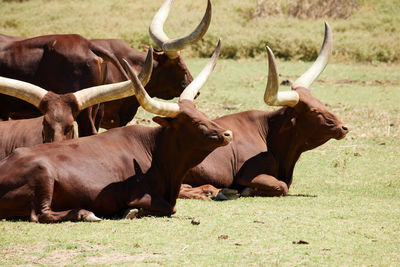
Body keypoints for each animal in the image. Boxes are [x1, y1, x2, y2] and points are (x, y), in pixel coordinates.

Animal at [0, 40, 234, 224]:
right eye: (194, 122)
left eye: (203, 114)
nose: (228, 134)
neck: (155, 153)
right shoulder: (138, 194)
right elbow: (168, 207)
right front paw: (131, 211)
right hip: (44, 176)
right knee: (41, 214)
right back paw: (85, 213)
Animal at [179, 23, 350, 201]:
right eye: (314, 111)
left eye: (321, 103)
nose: (344, 127)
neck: (269, 135)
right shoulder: (248, 175)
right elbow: (282, 187)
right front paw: (248, 190)